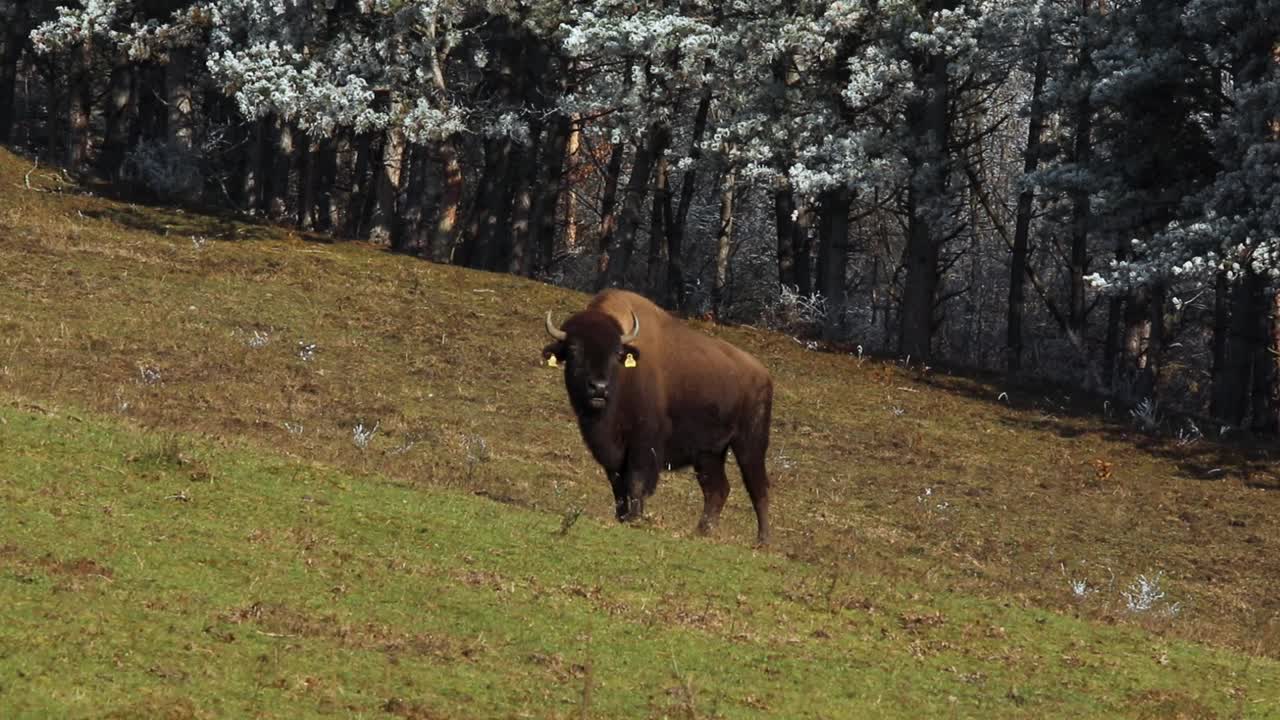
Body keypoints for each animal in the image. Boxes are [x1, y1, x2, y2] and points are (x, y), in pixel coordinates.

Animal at [542, 289, 775, 545]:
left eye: (616, 353)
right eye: (573, 350)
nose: (599, 388)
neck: (624, 376)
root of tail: (763, 374)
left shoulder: (644, 442)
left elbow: (636, 480)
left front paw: (634, 518)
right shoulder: (612, 451)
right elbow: (617, 483)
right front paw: (621, 516)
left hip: (750, 444)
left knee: (758, 487)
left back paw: (762, 541)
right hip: (709, 453)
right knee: (717, 488)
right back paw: (702, 531)